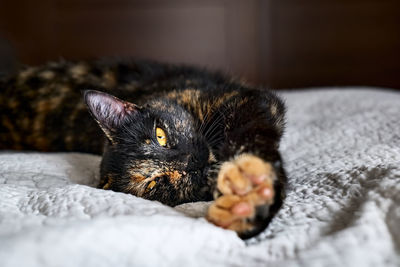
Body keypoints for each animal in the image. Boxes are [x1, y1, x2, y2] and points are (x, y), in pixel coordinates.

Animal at [0, 59, 288, 240]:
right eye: (155, 184)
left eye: (160, 136)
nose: (190, 162)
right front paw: (247, 208)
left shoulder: (246, 100)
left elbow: (252, 134)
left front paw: (252, 191)